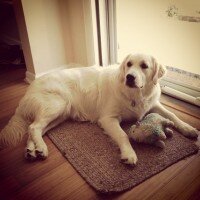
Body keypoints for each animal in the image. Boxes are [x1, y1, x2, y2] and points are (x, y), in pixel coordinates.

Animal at [0, 54, 198, 165]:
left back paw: (32, 151)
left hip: (60, 115)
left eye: (144, 66)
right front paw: (129, 154)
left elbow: (172, 114)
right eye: (128, 64)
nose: (129, 77)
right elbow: (123, 135)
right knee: (33, 127)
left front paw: (189, 129)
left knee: (34, 129)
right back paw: (41, 148)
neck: (135, 95)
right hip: (58, 105)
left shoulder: (153, 104)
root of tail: (29, 90)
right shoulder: (108, 118)